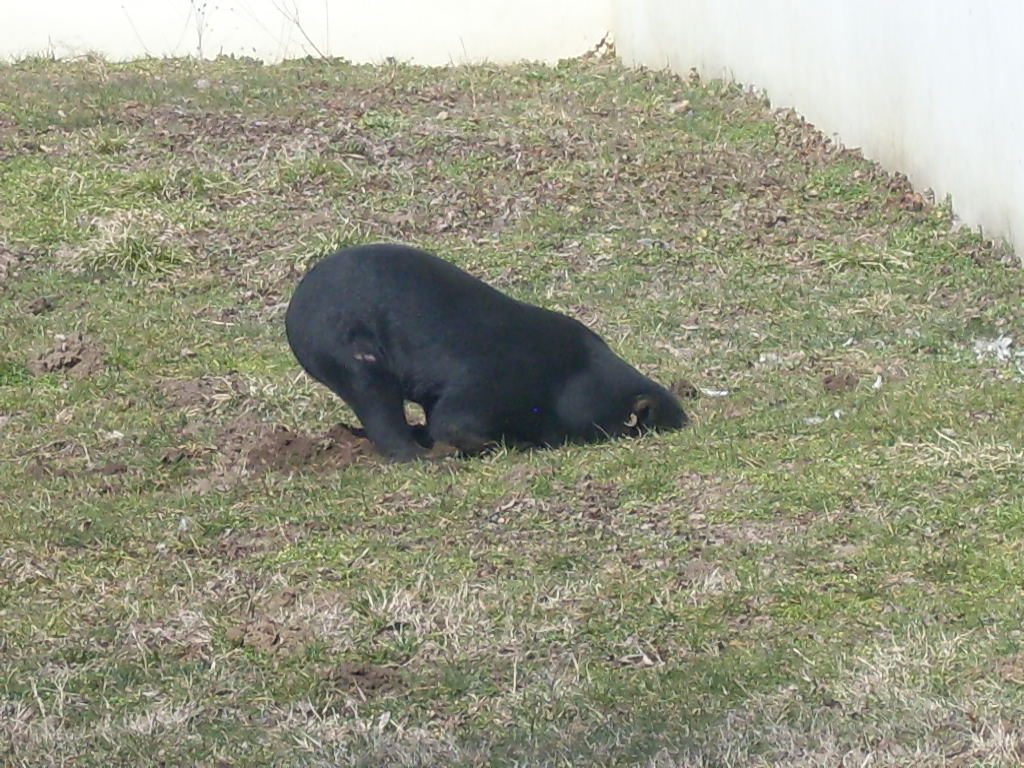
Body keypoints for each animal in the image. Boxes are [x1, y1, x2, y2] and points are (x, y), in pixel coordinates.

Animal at [285, 243, 687, 461]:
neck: (573, 374)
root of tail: (293, 312)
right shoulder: (495, 381)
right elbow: (454, 422)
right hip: (347, 350)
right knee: (376, 402)